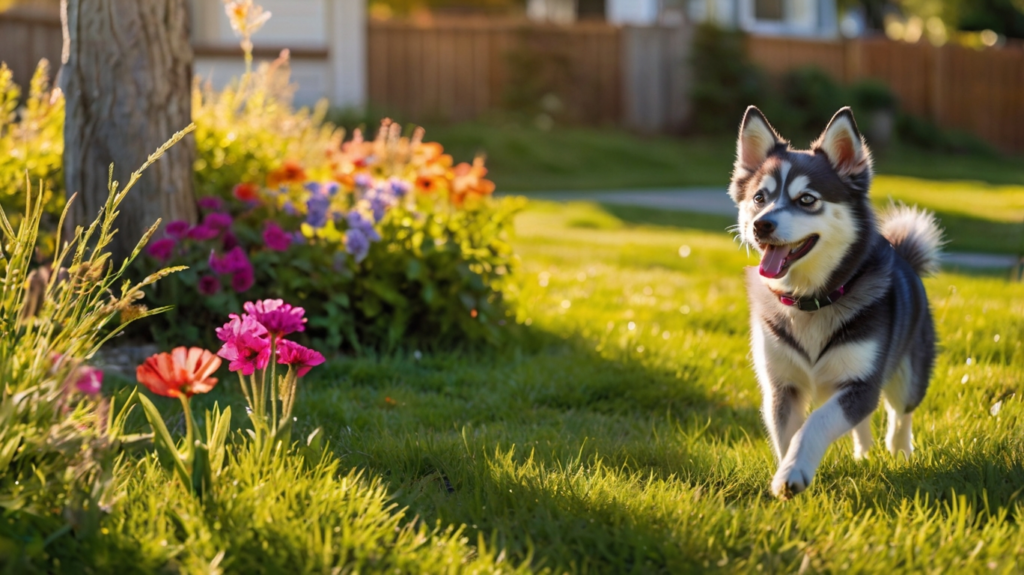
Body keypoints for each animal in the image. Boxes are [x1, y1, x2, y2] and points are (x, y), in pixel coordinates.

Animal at [729, 106, 942, 497]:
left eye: (807, 199)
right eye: (759, 198)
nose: (761, 225)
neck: (810, 301)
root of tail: (903, 256)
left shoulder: (861, 382)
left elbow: (817, 421)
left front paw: (794, 470)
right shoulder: (781, 386)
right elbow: (789, 433)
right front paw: (789, 470)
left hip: (909, 373)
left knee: (900, 412)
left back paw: (900, 451)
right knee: (865, 422)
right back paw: (864, 453)